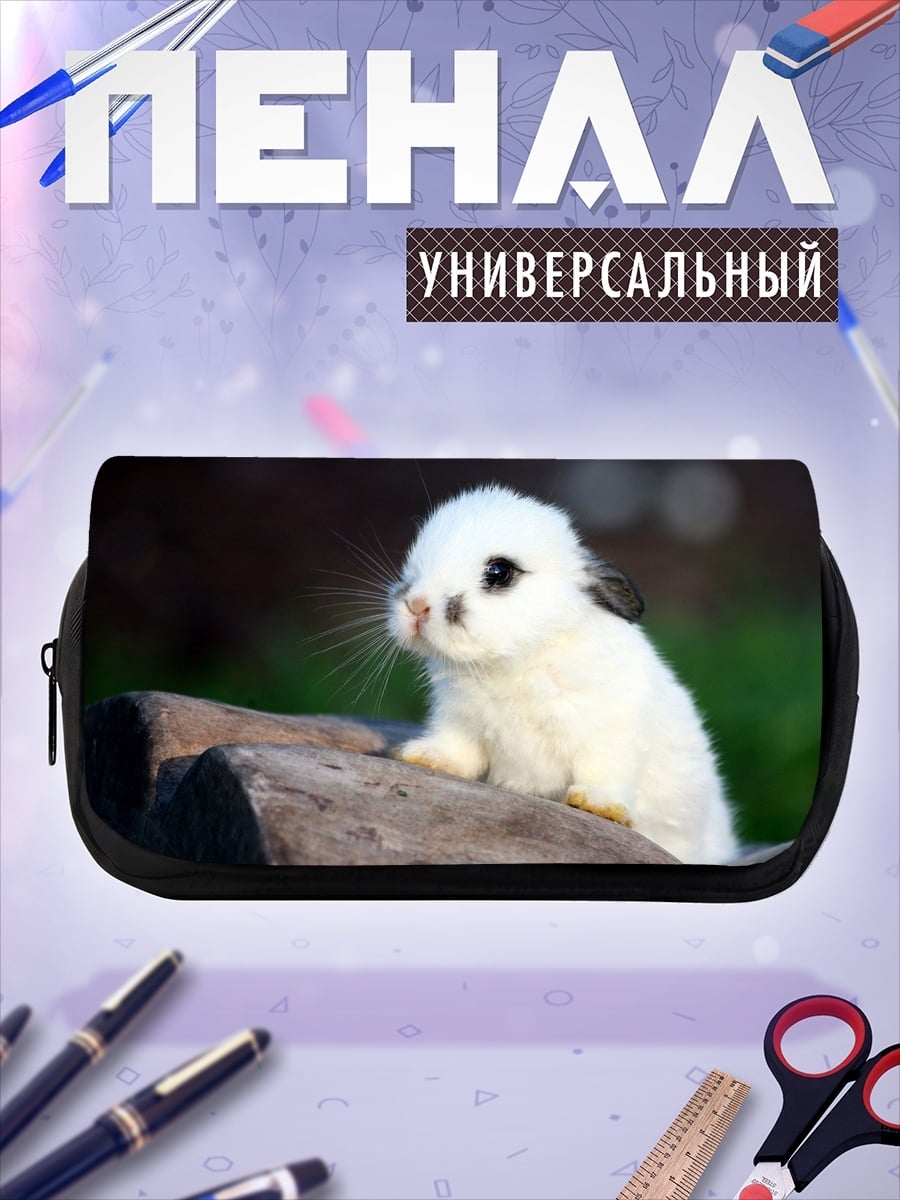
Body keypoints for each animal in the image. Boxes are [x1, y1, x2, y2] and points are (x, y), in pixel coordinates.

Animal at [387, 484, 738, 864]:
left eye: (499, 572)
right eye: (415, 560)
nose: (416, 605)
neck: (517, 661)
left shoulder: (610, 733)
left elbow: (604, 770)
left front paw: (596, 805)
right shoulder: (460, 722)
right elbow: (457, 750)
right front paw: (423, 757)